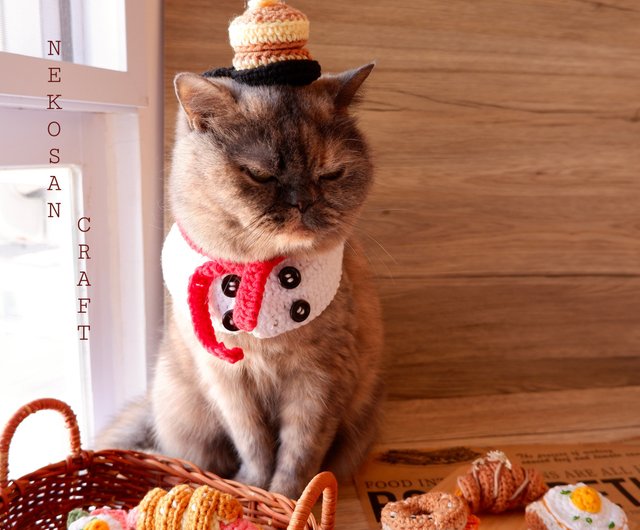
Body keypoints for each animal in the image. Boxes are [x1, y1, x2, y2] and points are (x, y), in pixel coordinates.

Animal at [97, 62, 382, 496]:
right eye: (259, 175)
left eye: (331, 173)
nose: (302, 202)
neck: (260, 274)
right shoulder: (229, 383)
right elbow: (254, 444)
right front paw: (250, 487)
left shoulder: (318, 382)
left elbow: (299, 454)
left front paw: (285, 499)